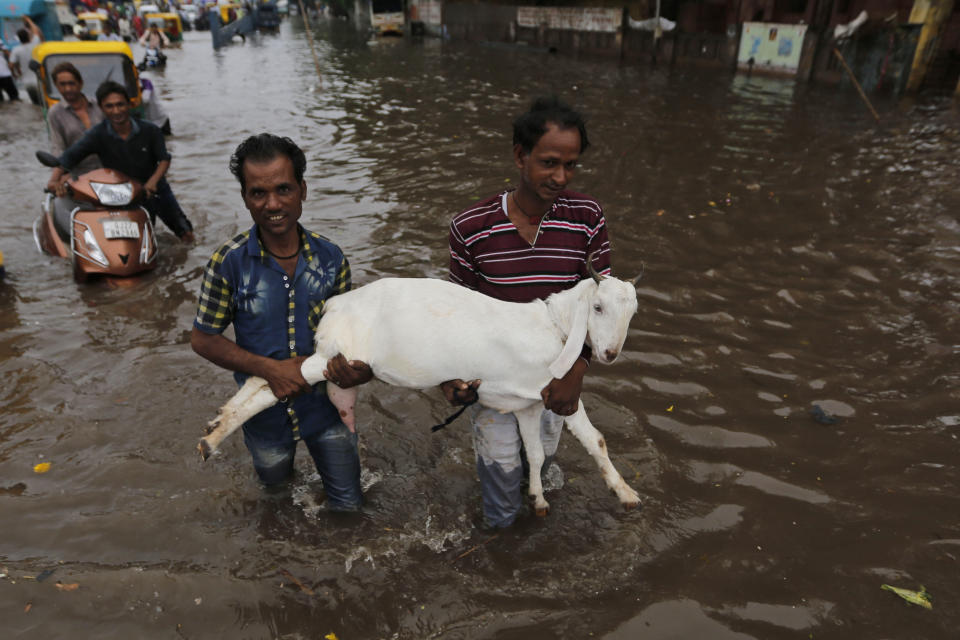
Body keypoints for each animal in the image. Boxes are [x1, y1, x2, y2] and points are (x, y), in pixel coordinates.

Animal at [199, 260, 640, 516]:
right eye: (597, 307)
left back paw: (215, 424)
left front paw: (539, 498)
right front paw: (625, 492)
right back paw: (213, 438)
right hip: (336, 356)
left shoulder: (529, 403)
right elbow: (596, 440)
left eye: (632, 312)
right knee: (279, 382)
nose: (610, 353)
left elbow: (536, 452)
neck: (554, 326)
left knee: (267, 378)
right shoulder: (557, 393)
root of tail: (336, 305)